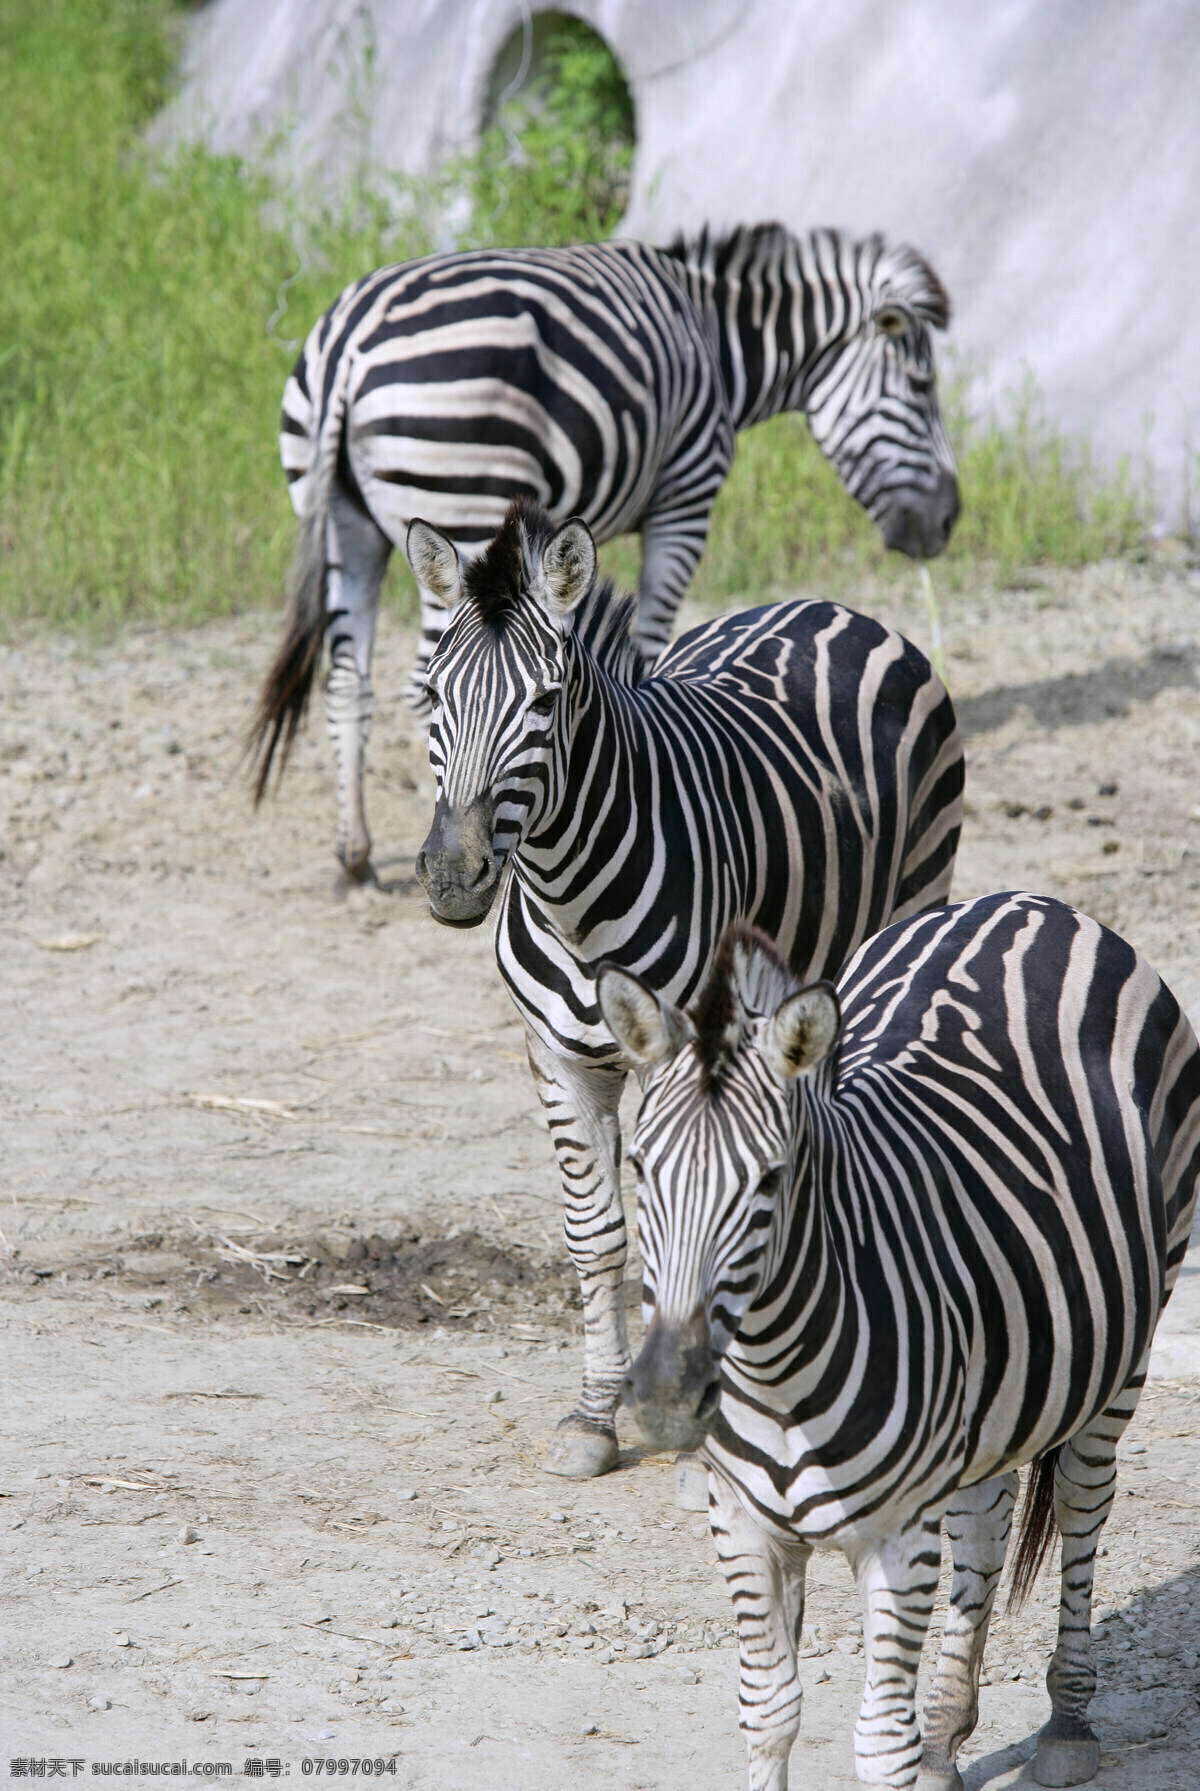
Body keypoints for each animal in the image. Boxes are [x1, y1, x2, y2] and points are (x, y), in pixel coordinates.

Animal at [243, 225, 960, 888]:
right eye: (922, 386)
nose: (948, 522)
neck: (716, 338)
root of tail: (345, 344)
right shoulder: (684, 495)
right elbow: (647, 636)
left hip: (343, 522)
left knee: (347, 682)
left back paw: (355, 856)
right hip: (461, 502)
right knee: (421, 682)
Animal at [408, 497, 967, 1475]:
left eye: (544, 703)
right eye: (434, 696)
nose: (451, 876)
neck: (570, 897)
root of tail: (828, 606)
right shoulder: (556, 1057)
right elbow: (598, 1236)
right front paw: (594, 1418)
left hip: (908, 902)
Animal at [601, 909, 1200, 1791]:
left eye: (770, 1181)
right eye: (640, 1168)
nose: (665, 1397)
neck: (777, 1374)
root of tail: (1029, 904)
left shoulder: (897, 1536)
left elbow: (882, 1743)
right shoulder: (740, 1521)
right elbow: (768, 1709)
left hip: (1126, 1349)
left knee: (1083, 1499)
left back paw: (1067, 1721)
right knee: (984, 1522)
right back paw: (949, 1733)